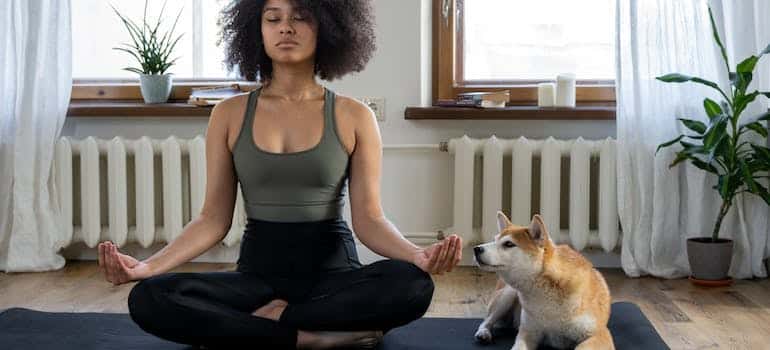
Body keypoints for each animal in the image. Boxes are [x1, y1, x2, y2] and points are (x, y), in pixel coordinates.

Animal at [468, 212, 612, 348]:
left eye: (508, 244)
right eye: (494, 240)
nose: (476, 249)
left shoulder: (599, 335)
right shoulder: (528, 332)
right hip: (507, 295)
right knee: (486, 321)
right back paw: (483, 333)